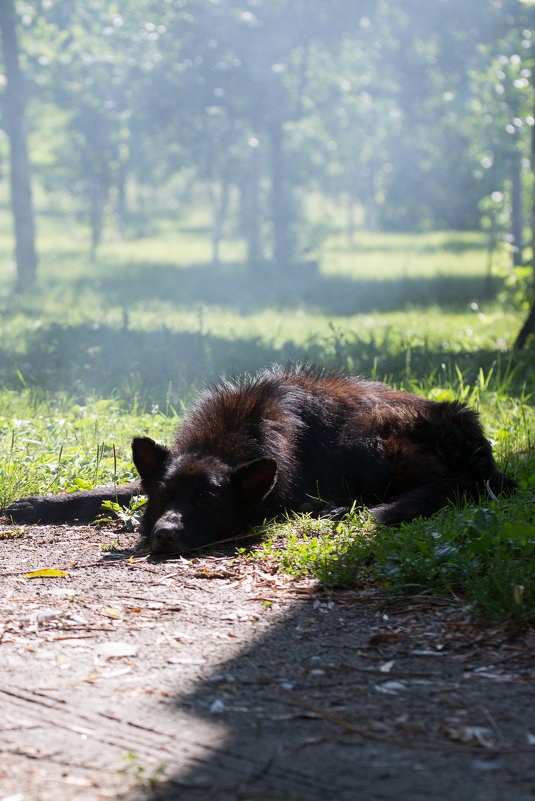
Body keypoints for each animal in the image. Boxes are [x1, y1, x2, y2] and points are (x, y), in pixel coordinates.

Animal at [2, 366, 516, 552]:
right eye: (165, 496)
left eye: (207, 501)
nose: (164, 534)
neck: (224, 442)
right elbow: (108, 491)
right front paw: (35, 505)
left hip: (371, 439)